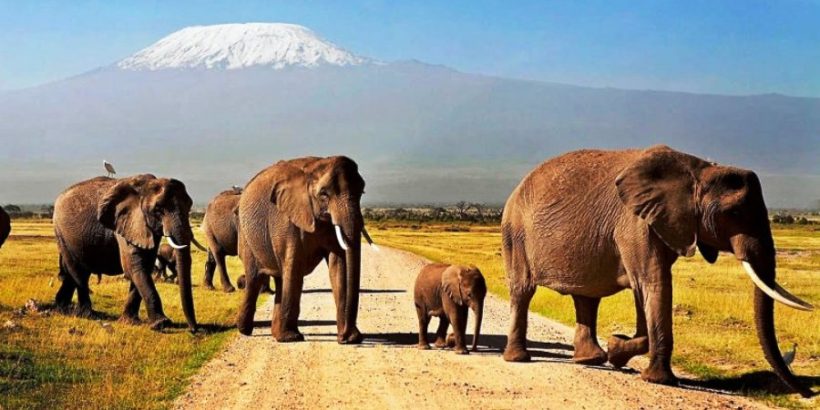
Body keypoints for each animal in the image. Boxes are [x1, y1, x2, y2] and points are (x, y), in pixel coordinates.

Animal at [52, 175, 205, 332]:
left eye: (190, 206)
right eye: (158, 209)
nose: (194, 330)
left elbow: (144, 266)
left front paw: (130, 321)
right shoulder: (126, 224)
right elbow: (134, 267)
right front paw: (161, 324)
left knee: (75, 272)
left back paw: (61, 309)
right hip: (62, 233)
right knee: (78, 272)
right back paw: (88, 315)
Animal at [235, 156, 376, 342]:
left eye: (361, 192)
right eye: (324, 194)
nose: (345, 337)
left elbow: (339, 266)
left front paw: (351, 338)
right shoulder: (287, 220)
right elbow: (294, 266)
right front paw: (291, 338)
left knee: (280, 278)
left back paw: (274, 333)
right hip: (246, 236)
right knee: (254, 278)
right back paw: (245, 330)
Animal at [500, 145, 812, 398]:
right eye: (734, 214)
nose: (808, 393)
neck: (700, 170)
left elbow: (647, 289)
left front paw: (618, 351)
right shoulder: (635, 224)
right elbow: (653, 284)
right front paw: (650, 373)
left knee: (586, 298)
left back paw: (591, 361)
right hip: (515, 234)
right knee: (523, 291)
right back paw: (519, 359)